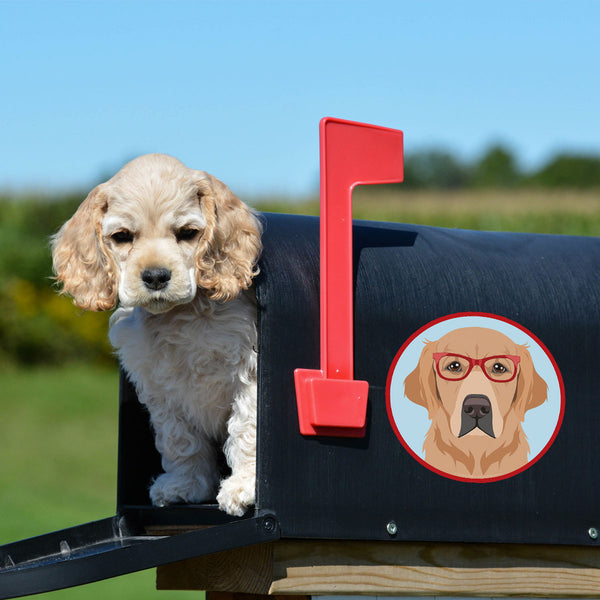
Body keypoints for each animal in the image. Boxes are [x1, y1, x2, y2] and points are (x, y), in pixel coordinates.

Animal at [53, 154, 262, 516]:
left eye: (187, 233)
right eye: (122, 236)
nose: (154, 276)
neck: (178, 316)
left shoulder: (248, 372)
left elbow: (246, 428)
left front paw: (244, 487)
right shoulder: (161, 389)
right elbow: (180, 440)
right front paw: (185, 486)